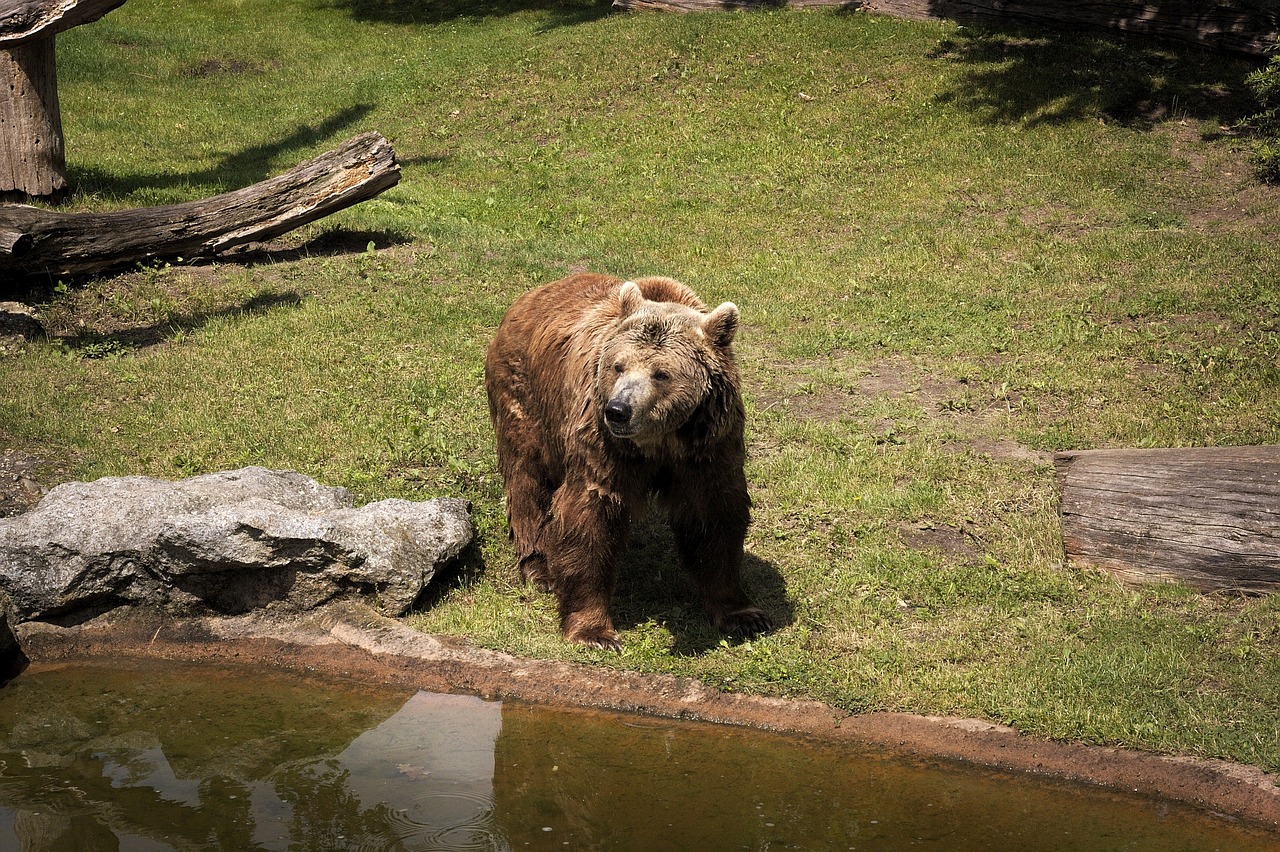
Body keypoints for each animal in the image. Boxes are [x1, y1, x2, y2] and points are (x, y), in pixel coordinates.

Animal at [483, 275, 768, 647]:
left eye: (661, 373)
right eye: (618, 366)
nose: (618, 410)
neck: (660, 440)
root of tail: (532, 295)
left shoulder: (707, 445)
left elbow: (713, 517)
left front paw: (742, 614)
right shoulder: (603, 443)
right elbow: (589, 515)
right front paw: (594, 631)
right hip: (526, 398)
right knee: (527, 477)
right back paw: (539, 566)